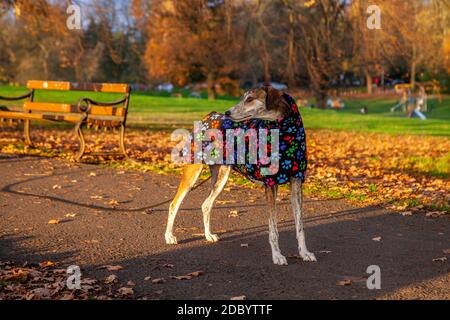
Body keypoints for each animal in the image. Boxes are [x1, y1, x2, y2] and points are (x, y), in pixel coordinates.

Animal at [163, 85, 314, 264]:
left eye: (249, 99)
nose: (227, 112)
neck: (286, 135)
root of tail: (209, 115)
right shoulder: (271, 185)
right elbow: (273, 228)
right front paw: (277, 255)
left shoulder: (296, 181)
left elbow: (300, 226)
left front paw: (305, 253)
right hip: (193, 173)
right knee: (174, 204)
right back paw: (169, 236)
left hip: (222, 178)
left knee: (206, 205)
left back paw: (208, 235)